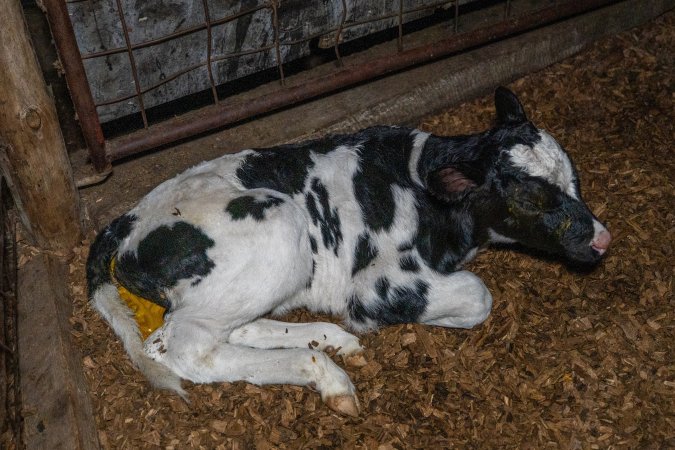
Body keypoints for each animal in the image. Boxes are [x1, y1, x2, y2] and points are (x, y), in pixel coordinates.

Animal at [86, 87, 610, 416]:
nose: (601, 239)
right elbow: (477, 296)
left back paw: (330, 341)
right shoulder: (380, 283)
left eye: (574, 178)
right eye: (530, 197)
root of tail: (126, 220)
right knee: (181, 345)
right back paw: (328, 375)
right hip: (282, 229)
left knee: (228, 328)